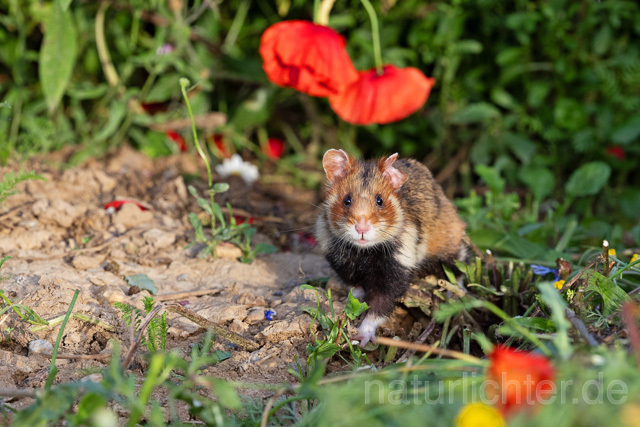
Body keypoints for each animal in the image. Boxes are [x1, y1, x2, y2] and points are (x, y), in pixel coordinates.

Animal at [316, 150, 470, 348]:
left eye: (380, 201)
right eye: (347, 200)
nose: (361, 229)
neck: (363, 252)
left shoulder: (395, 270)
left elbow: (380, 306)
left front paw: (360, 338)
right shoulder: (341, 263)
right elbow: (355, 287)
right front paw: (349, 301)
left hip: (449, 244)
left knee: (460, 264)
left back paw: (456, 292)